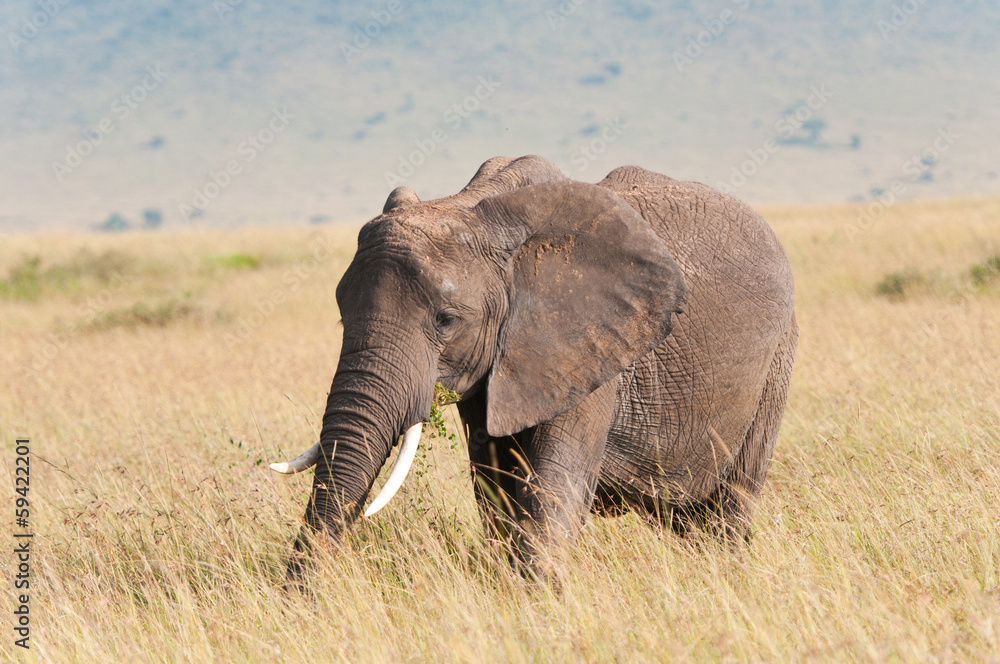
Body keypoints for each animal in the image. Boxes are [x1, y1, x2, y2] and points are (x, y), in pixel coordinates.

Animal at [273, 155, 798, 578]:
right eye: (342, 315)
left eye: (446, 320)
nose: (300, 598)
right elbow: (495, 484)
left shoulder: (587, 350)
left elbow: (554, 488)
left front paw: (537, 601)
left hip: (778, 361)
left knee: (729, 506)